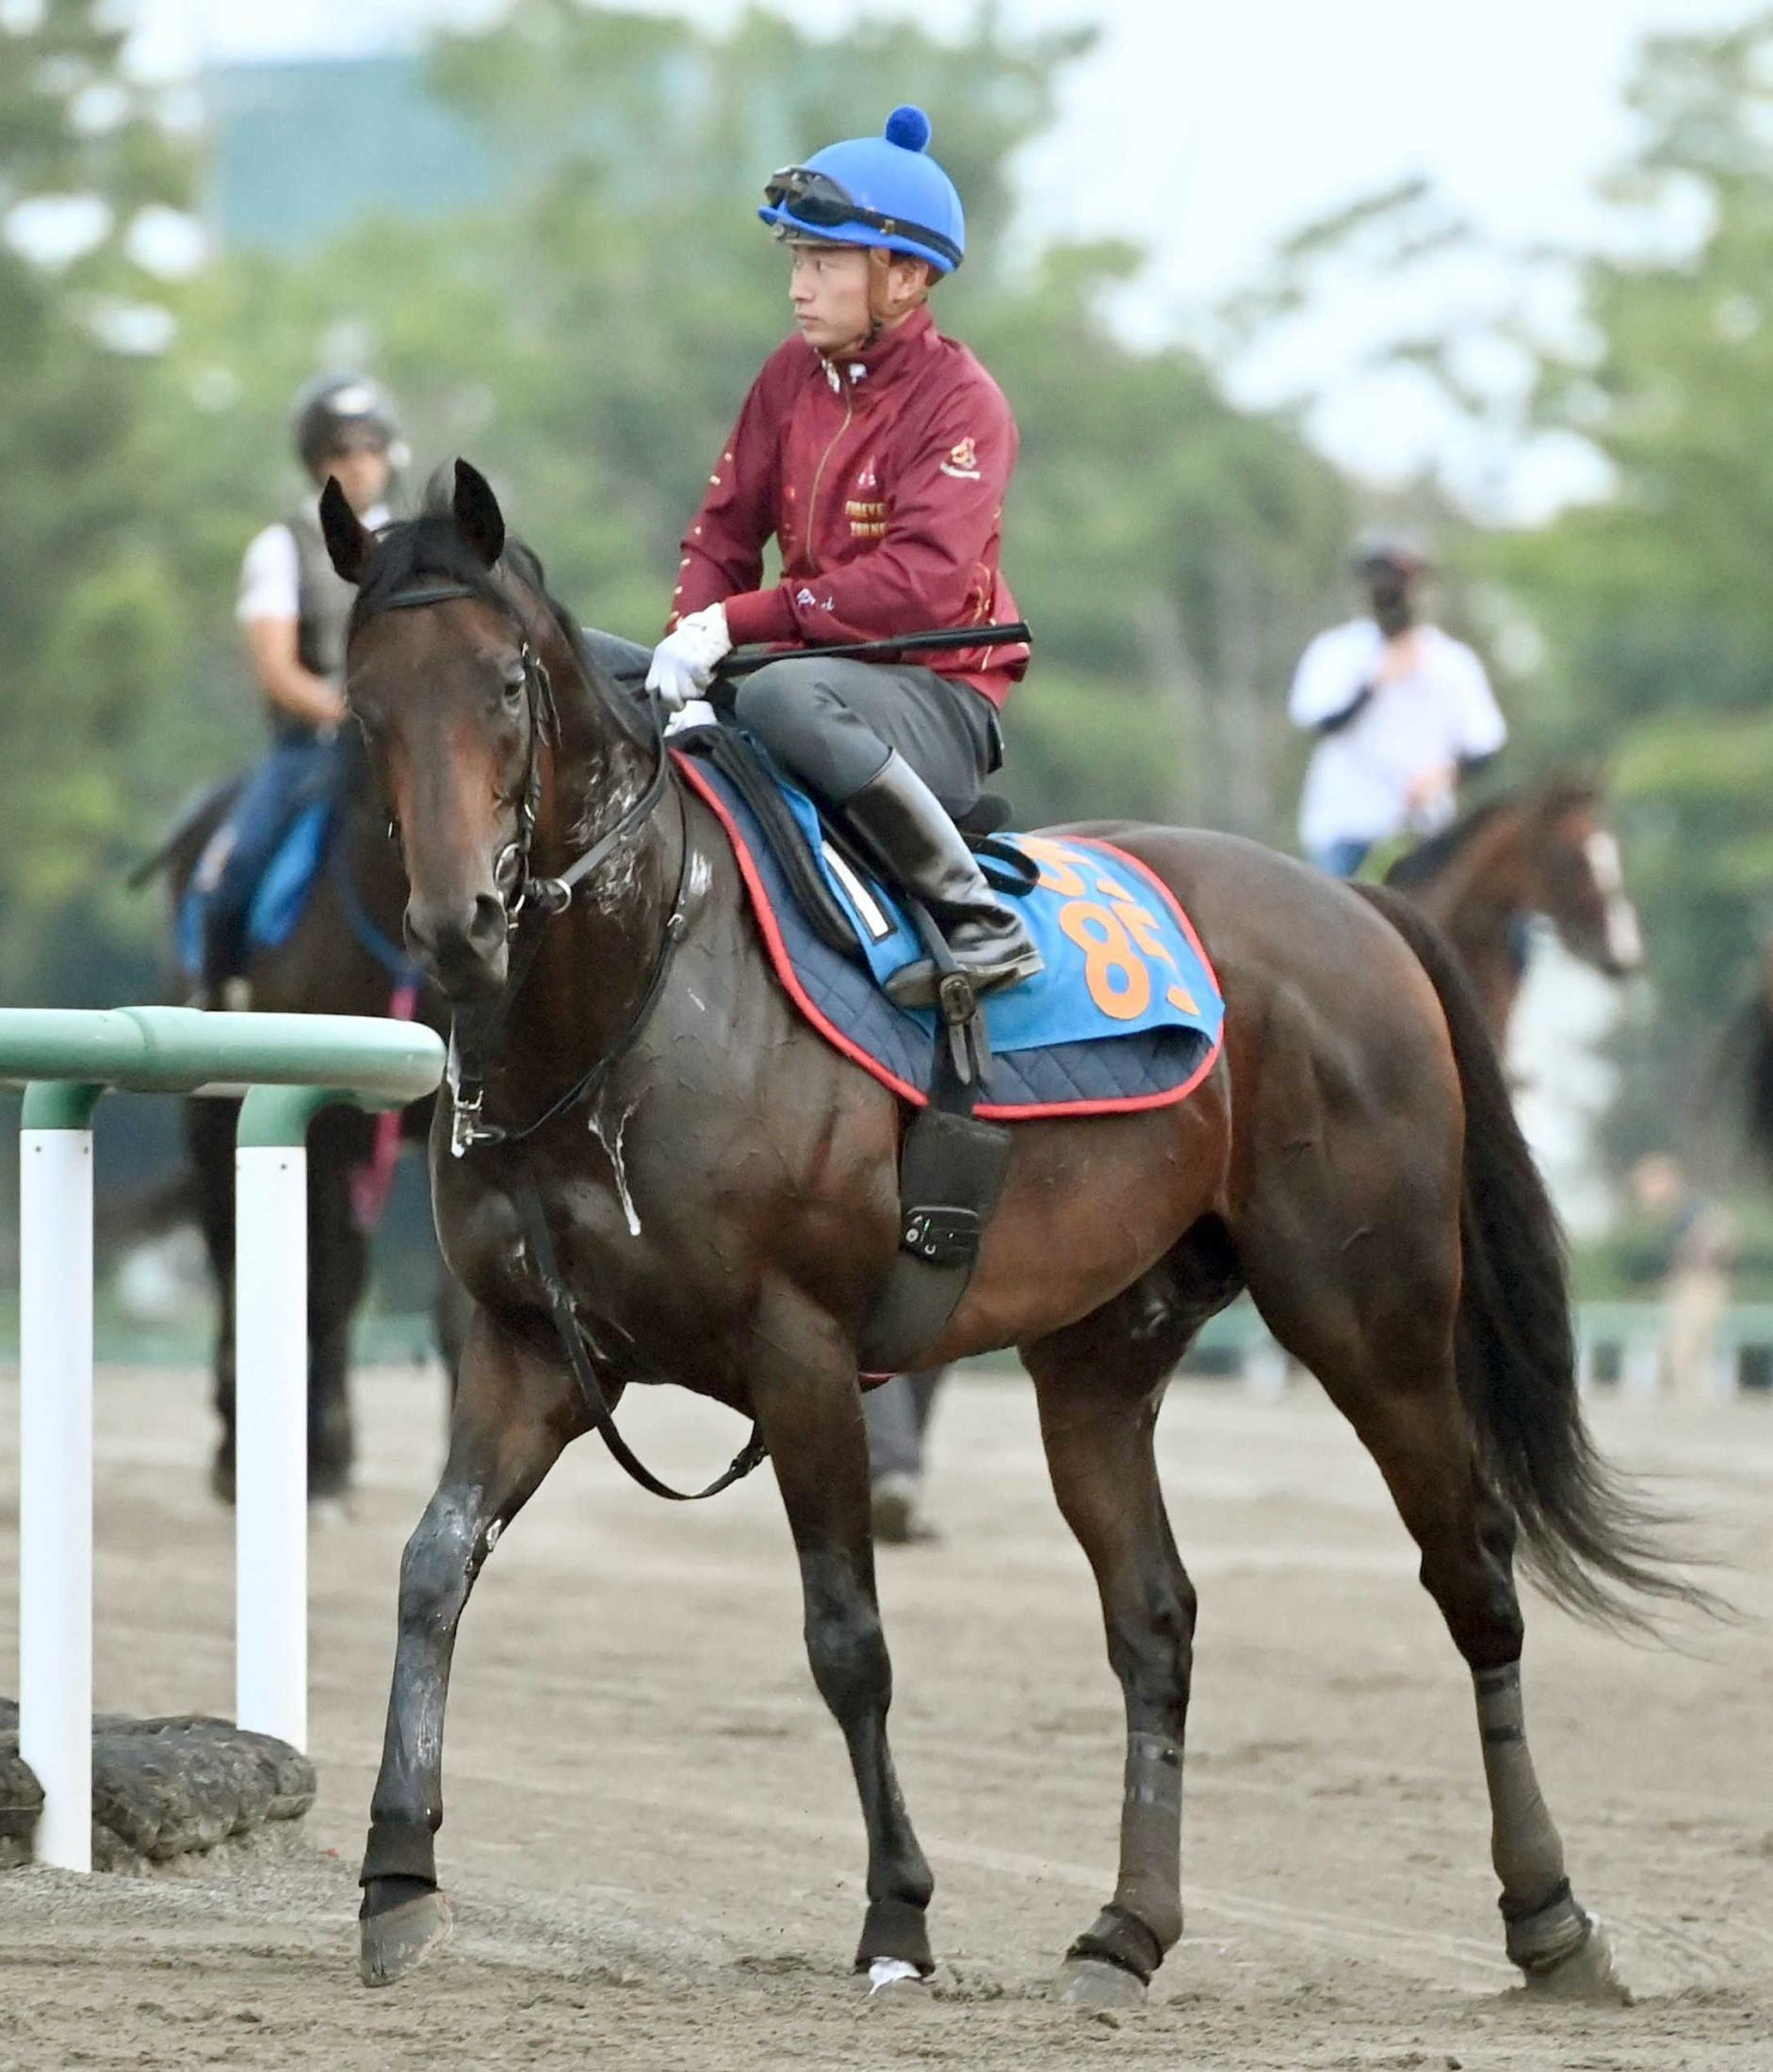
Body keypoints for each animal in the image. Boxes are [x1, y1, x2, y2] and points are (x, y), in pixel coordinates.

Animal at [143, 731, 463, 1501]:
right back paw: (240, 1442)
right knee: (231, 1255)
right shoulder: (323, 1122)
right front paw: (320, 1464)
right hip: (211, 1119)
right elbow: (324, 1283)